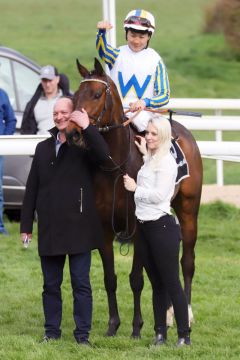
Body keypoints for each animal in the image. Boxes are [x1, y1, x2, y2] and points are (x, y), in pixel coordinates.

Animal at [65, 58, 202, 338]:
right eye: (75, 96)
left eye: (96, 94)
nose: (74, 134)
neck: (114, 165)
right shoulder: (104, 228)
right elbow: (110, 279)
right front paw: (113, 324)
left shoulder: (137, 227)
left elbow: (136, 279)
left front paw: (136, 327)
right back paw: (169, 315)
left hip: (189, 210)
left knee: (187, 262)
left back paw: (186, 313)